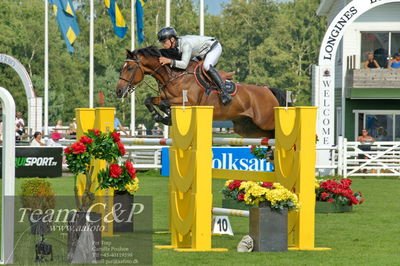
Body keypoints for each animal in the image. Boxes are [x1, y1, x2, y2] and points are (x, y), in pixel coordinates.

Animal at [114, 46, 290, 138]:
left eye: (129, 68)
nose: (119, 91)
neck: (173, 75)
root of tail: (268, 91)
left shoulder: (188, 102)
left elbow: (164, 104)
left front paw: (166, 117)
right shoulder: (164, 97)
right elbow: (150, 100)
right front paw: (160, 117)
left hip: (264, 121)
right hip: (247, 127)